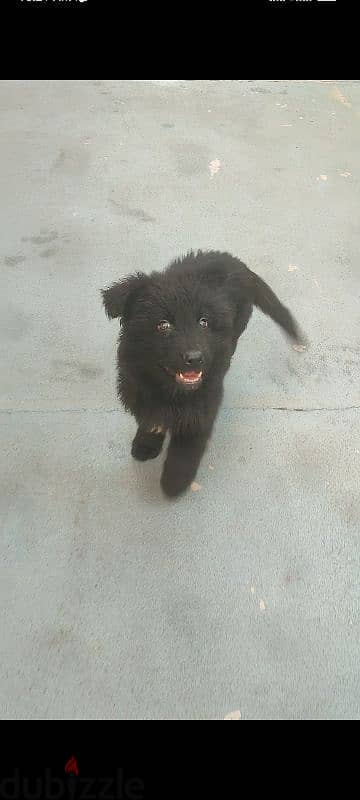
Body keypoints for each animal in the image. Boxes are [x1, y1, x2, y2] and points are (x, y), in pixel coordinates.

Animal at [102, 253, 304, 496]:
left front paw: (174, 483)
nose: (196, 358)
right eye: (163, 324)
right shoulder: (141, 390)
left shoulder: (203, 407)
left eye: (203, 322)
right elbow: (151, 420)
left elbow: (185, 450)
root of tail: (238, 262)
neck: (171, 390)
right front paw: (145, 445)